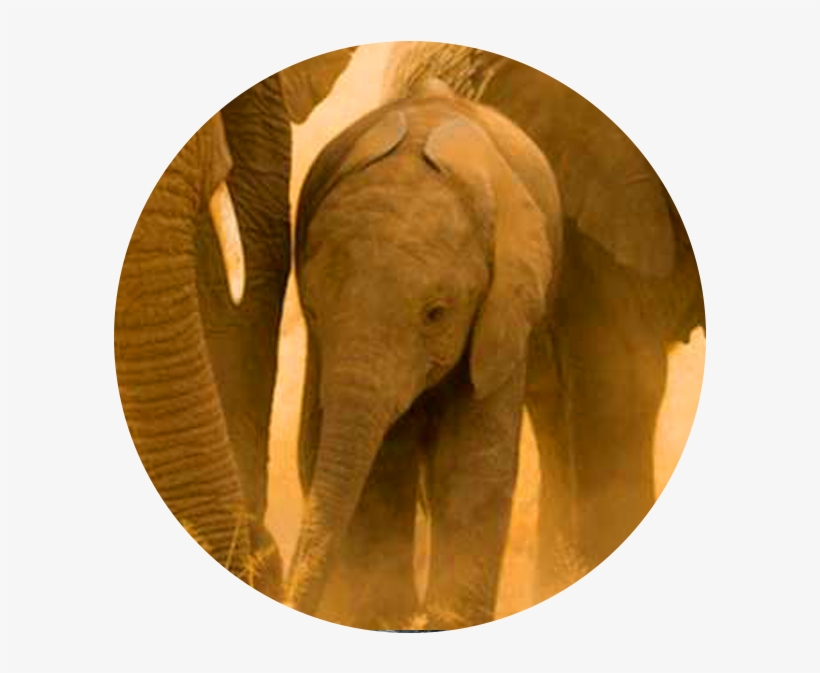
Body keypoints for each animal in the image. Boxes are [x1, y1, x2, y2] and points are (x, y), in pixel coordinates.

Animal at [284, 79, 564, 630]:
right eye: (315, 307)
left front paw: (444, 623)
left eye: (436, 315)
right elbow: (374, 467)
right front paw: (386, 621)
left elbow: (473, 465)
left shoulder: (502, 311)